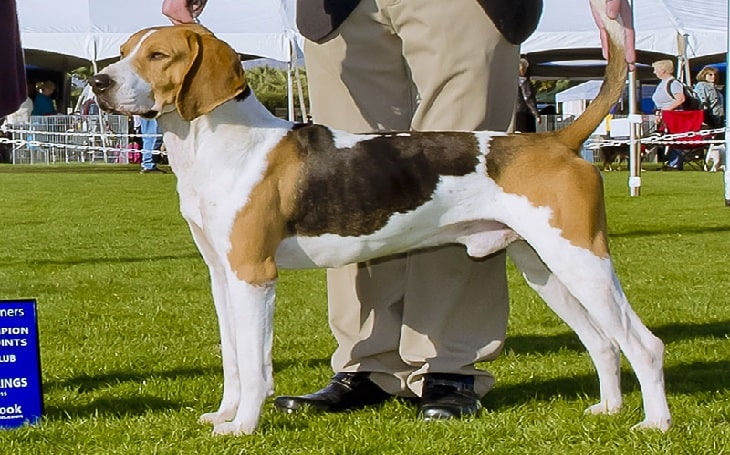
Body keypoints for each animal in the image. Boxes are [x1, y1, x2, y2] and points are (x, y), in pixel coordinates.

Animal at [91, 8, 672, 438]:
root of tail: (555, 140)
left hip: (582, 259)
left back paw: (655, 423)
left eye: (158, 56)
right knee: (603, 343)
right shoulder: (222, 276)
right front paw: (225, 414)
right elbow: (234, 361)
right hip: (546, 268)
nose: (96, 81)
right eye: (123, 53)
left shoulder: (254, 277)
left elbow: (256, 367)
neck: (221, 142)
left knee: (643, 344)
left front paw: (243, 427)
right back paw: (609, 409)